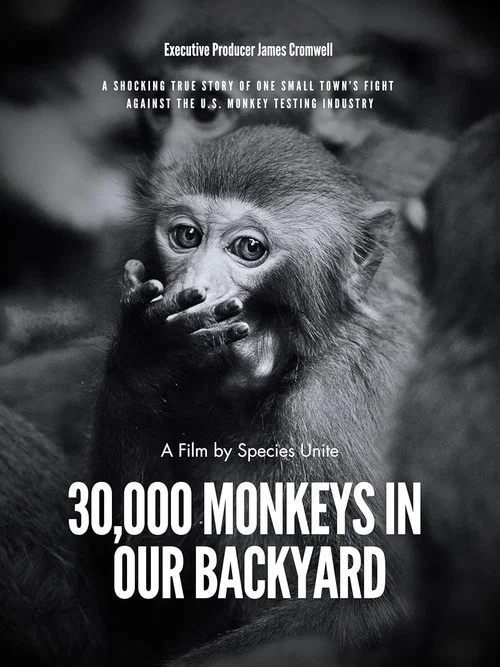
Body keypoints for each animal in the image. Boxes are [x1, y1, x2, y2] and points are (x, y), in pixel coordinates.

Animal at [89, 125, 422, 666]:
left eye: (249, 248)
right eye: (186, 236)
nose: (196, 289)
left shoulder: (332, 413)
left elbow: (378, 605)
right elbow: (144, 596)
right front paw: (145, 354)